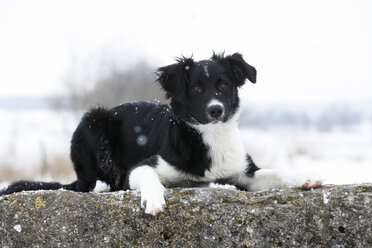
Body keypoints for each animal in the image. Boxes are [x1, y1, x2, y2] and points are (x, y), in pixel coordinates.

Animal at [0, 52, 322, 215]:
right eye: (196, 88)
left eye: (223, 85)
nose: (216, 110)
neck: (208, 137)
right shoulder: (142, 166)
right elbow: (148, 177)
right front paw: (153, 201)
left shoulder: (244, 172)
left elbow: (276, 172)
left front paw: (306, 177)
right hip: (93, 122)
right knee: (89, 183)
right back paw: (100, 186)